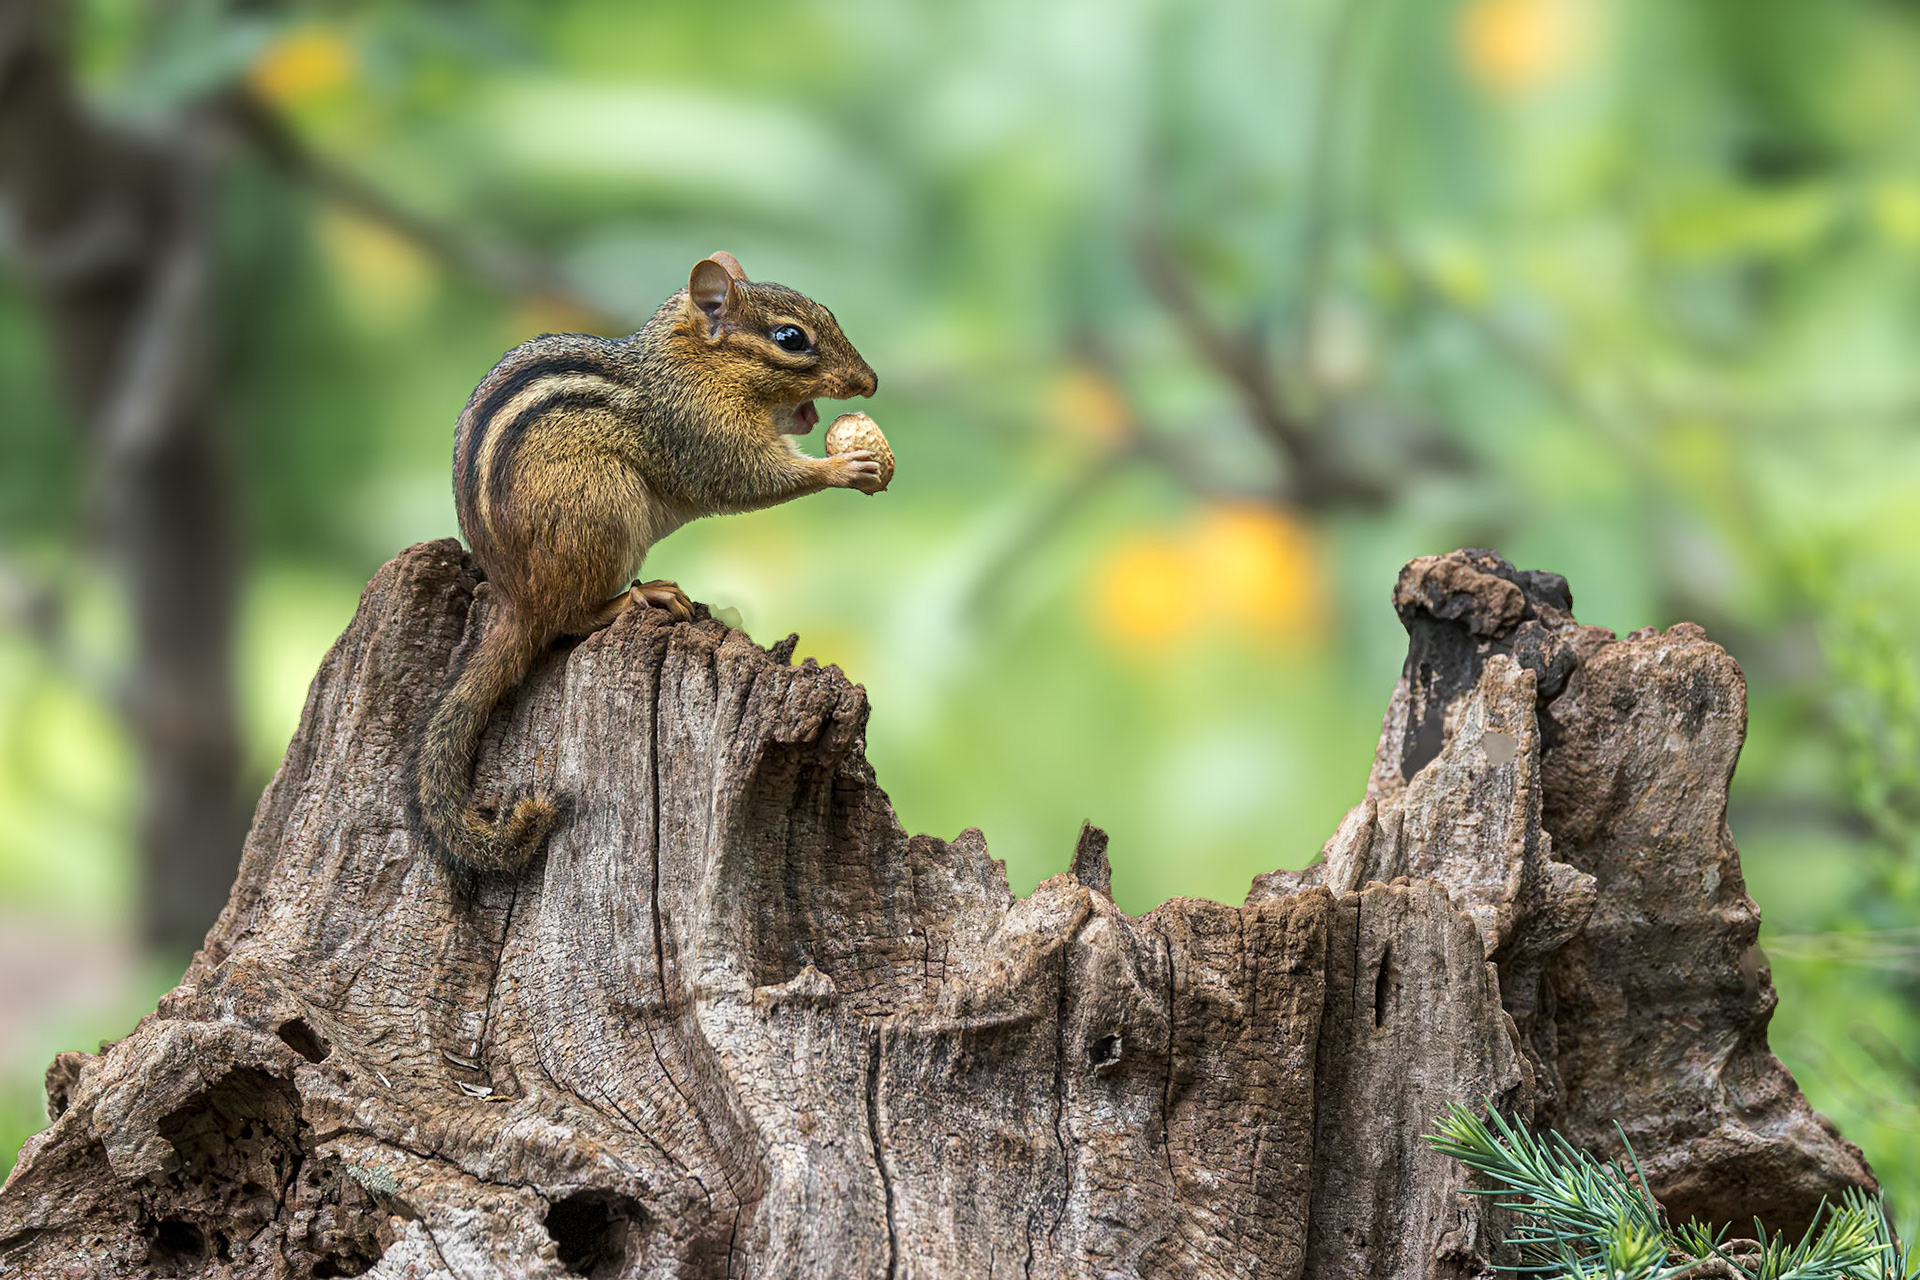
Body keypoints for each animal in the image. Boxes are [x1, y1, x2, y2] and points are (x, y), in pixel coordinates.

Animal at [409, 252, 881, 886]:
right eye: (791, 338)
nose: (870, 381)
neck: (693, 365)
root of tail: (512, 596)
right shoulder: (702, 434)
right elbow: (753, 480)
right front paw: (847, 466)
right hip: (604, 511)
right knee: (568, 620)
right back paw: (642, 596)